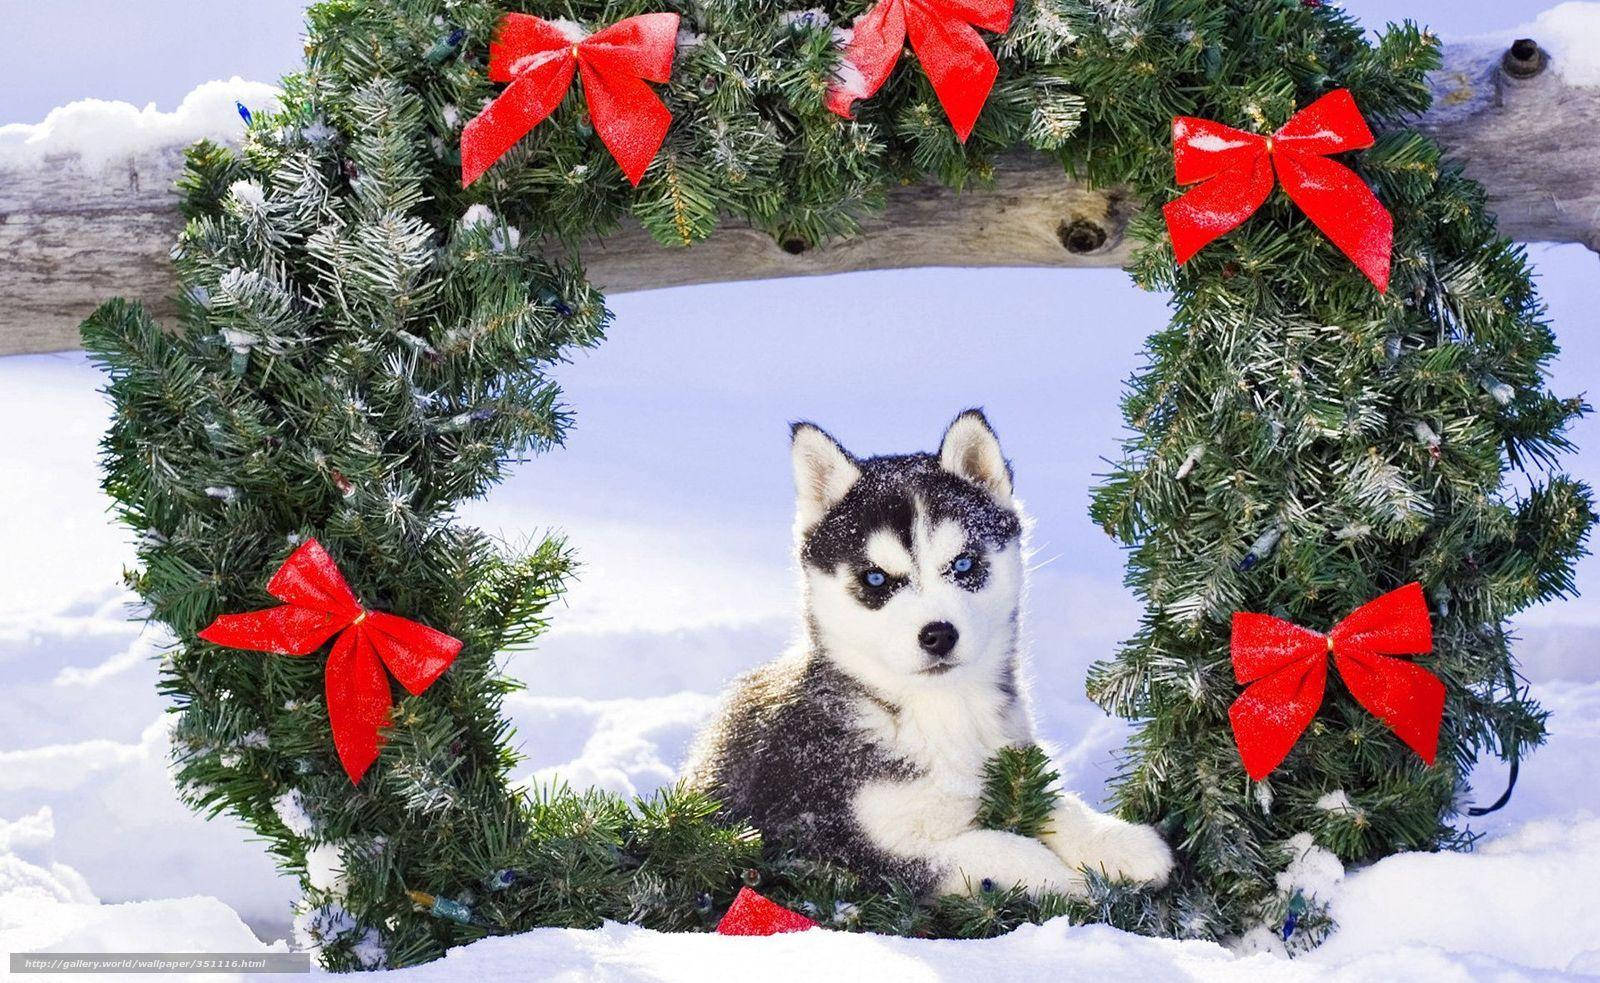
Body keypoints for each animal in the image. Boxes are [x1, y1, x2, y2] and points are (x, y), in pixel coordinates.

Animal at [684, 413, 1177, 896]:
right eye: (876, 579)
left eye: (963, 564)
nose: (938, 635)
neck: (940, 713)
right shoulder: (829, 843)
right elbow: (987, 849)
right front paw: (1063, 877)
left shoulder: (1011, 769)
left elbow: (1052, 802)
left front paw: (1117, 841)